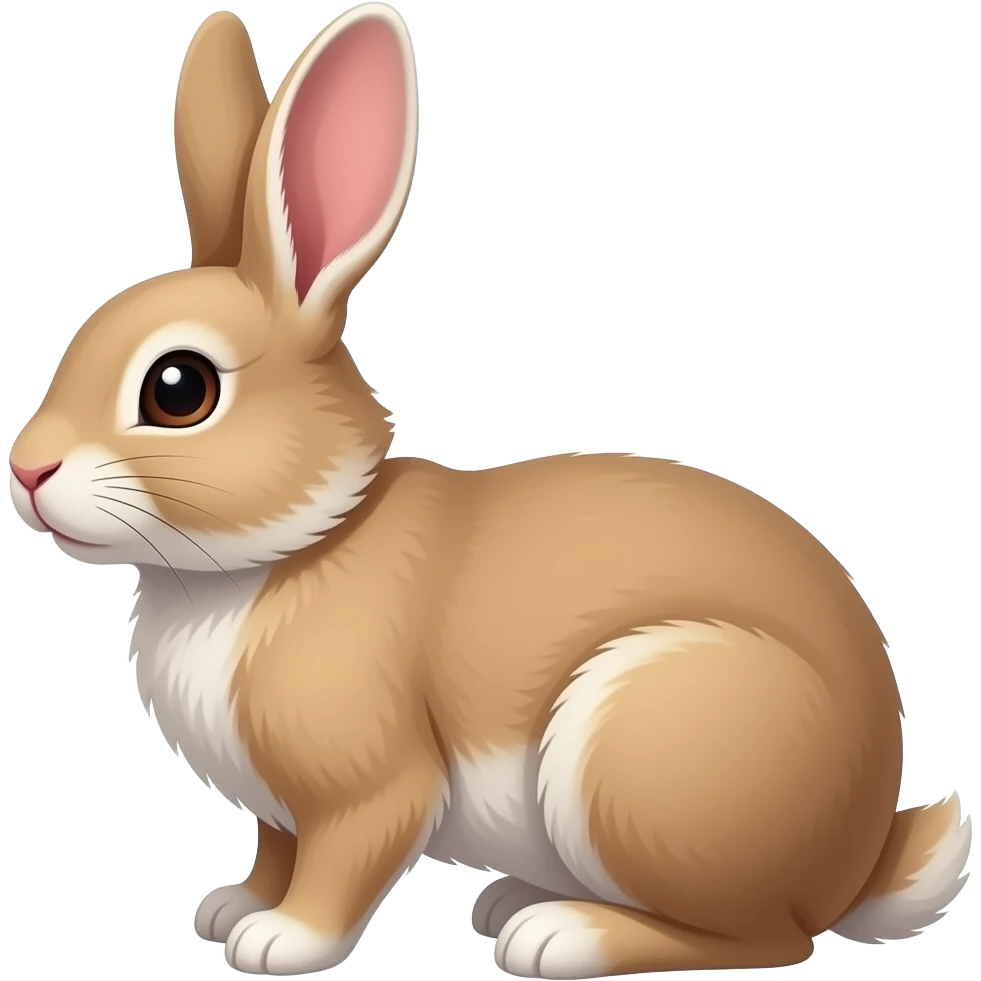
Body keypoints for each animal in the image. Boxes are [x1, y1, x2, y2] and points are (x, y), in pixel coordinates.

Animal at [8, 4, 973, 978]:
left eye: (179, 390)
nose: (26, 467)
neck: (296, 543)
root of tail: (858, 855)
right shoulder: (278, 810)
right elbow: (275, 851)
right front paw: (231, 905)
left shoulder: (368, 787)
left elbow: (341, 863)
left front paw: (279, 940)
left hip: (638, 744)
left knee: (765, 937)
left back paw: (558, 933)